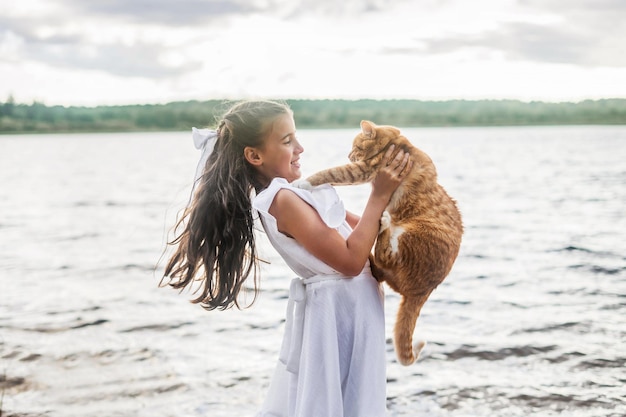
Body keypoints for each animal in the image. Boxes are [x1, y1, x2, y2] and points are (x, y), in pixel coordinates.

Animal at [294, 119, 460, 364]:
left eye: (355, 146)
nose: (349, 154)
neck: (398, 143)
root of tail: (422, 291)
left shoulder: (364, 169)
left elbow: (331, 172)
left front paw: (303, 182)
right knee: (381, 267)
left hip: (413, 233)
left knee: (387, 256)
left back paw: (384, 222)